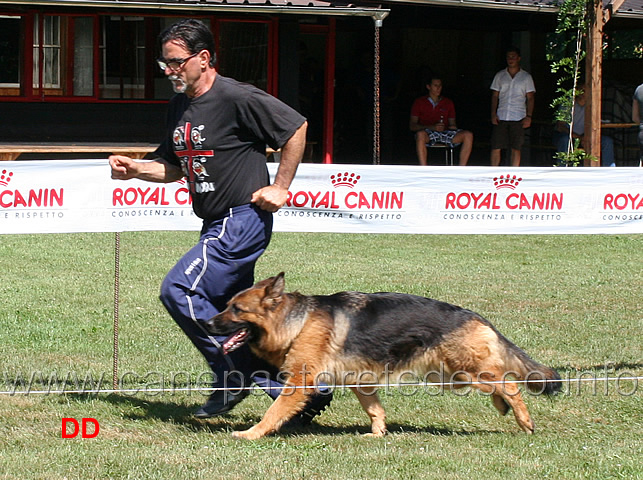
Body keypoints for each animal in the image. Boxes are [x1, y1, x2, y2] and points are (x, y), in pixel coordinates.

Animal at [204, 274, 560, 438]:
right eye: (228, 305)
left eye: (236, 310)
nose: (206, 323)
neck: (297, 322)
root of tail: (476, 316)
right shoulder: (360, 382)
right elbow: (375, 409)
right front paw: (377, 434)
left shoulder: (299, 383)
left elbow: (273, 412)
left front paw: (251, 434)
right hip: (454, 375)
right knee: (501, 384)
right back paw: (504, 408)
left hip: (463, 371)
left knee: (509, 385)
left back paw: (525, 421)